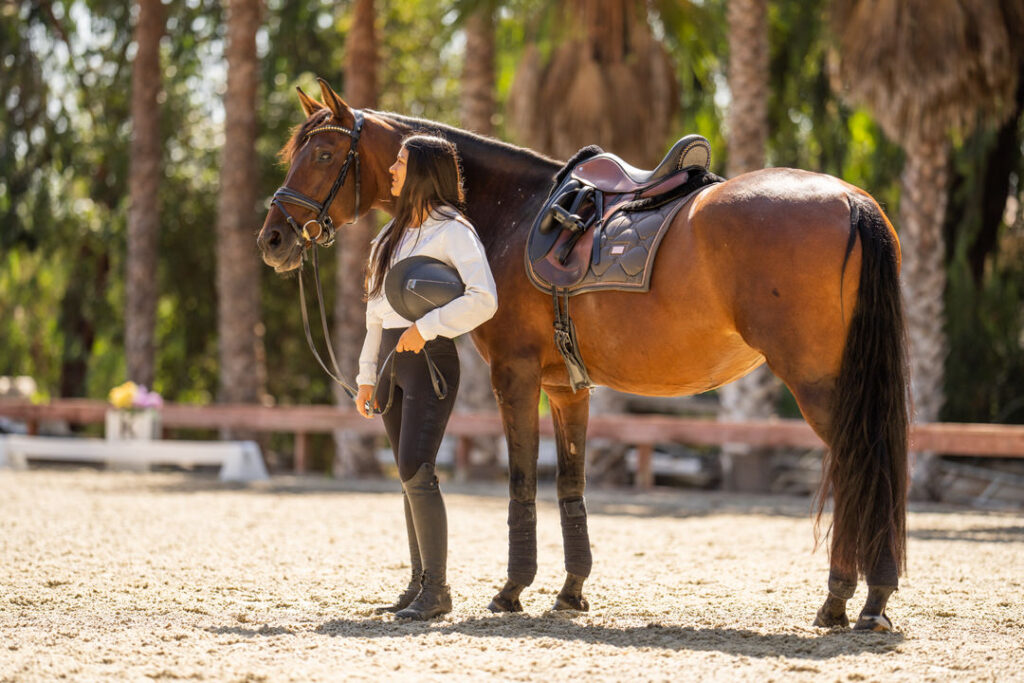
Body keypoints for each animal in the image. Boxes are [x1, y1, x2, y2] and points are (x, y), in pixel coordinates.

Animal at [258, 81, 913, 634]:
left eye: (323, 154)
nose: (273, 238)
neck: (512, 210)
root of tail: (849, 198)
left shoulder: (515, 375)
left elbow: (522, 480)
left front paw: (511, 590)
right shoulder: (566, 387)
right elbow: (570, 483)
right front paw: (570, 592)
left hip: (820, 383)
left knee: (859, 465)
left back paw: (854, 599)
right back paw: (859, 600)